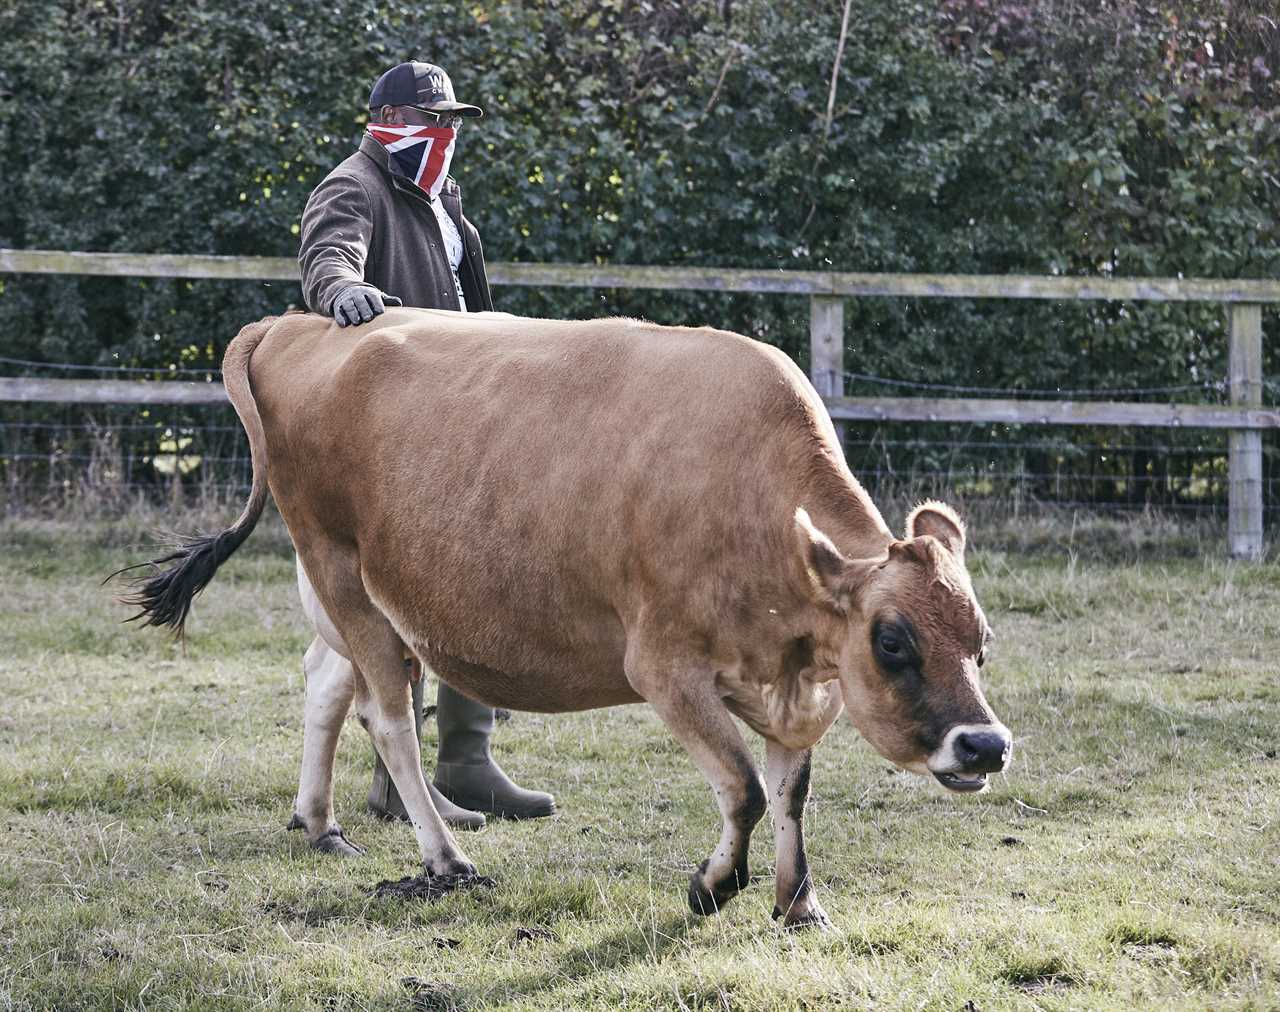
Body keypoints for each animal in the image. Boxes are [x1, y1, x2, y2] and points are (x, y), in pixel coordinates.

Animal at [122, 308, 1011, 929]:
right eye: (892, 640)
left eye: (981, 642)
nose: (987, 745)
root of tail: (299, 322)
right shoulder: (663, 667)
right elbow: (746, 788)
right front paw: (713, 886)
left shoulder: (795, 684)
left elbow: (790, 793)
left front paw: (798, 903)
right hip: (339, 570)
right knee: (388, 717)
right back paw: (445, 860)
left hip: (358, 595)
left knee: (326, 685)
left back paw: (319, 822)